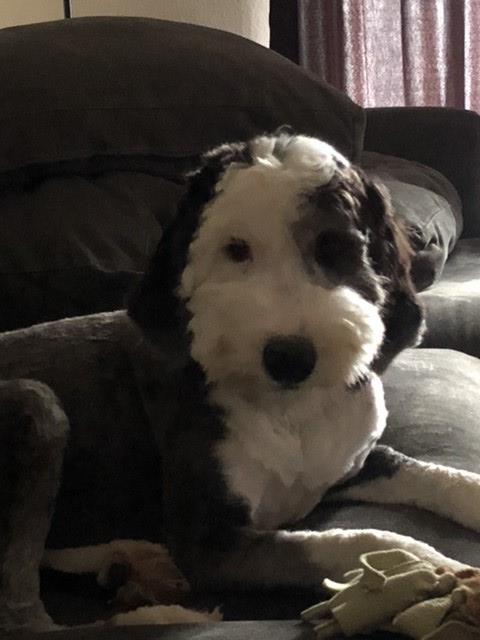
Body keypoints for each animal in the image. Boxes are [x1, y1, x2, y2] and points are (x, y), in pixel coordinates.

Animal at [0, 131, 480, 636]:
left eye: (334, 248)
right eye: (235, 249)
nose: (290, 357)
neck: (290, 410)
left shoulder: (351, 462)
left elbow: (432, 474)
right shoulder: (210, 543)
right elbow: (345, 543)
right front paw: (425, 566)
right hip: (39, 406)